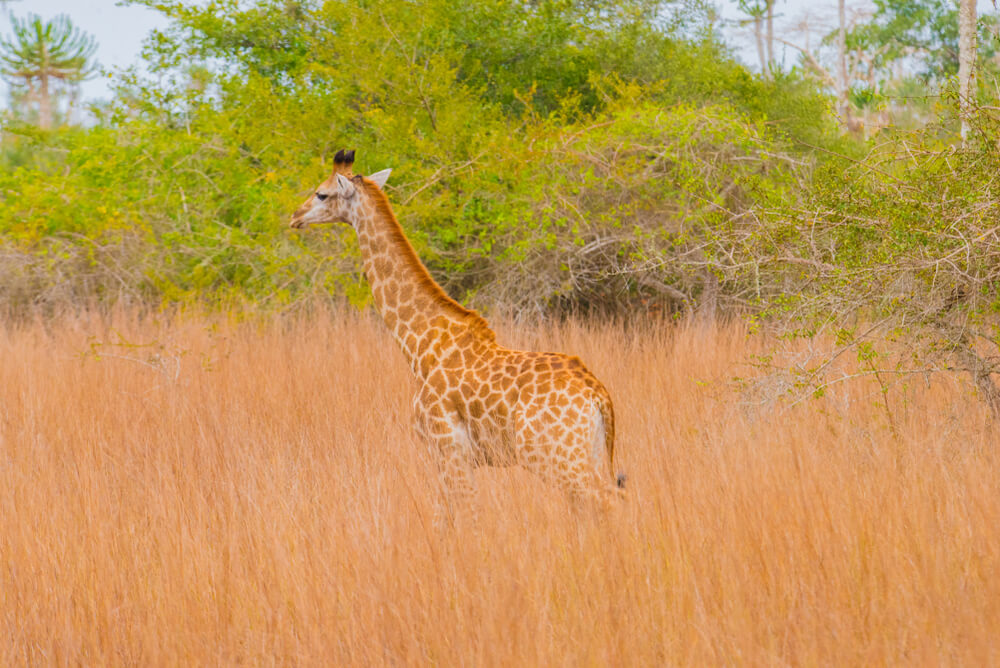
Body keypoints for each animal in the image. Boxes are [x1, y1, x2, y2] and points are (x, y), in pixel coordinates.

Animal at [290, 149, 625, 517]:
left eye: (322, 194)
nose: (295, 216)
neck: (419, 342)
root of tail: (599, 396)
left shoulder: (447, 448)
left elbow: (462, 515)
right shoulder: (456, 457)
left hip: (553, 456)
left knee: (607, 503)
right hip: (588, 455)